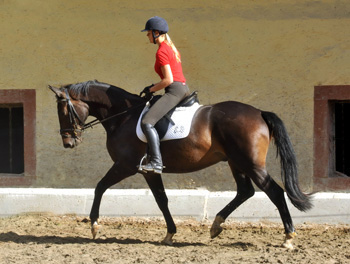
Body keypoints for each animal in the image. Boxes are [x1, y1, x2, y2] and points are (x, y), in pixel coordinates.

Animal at [48, 79, 312, 249]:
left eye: (63, 111)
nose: (68, 142)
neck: (123, 116)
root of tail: (258, 112)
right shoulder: (149, 172)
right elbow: (161, 199)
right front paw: (169, 234)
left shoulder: (125, 165)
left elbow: (100, 187)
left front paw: (94, 225)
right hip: (236, 162)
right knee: (245, 191)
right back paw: (216, 225)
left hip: (250, 164)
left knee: (275, 192)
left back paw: (288, 237)